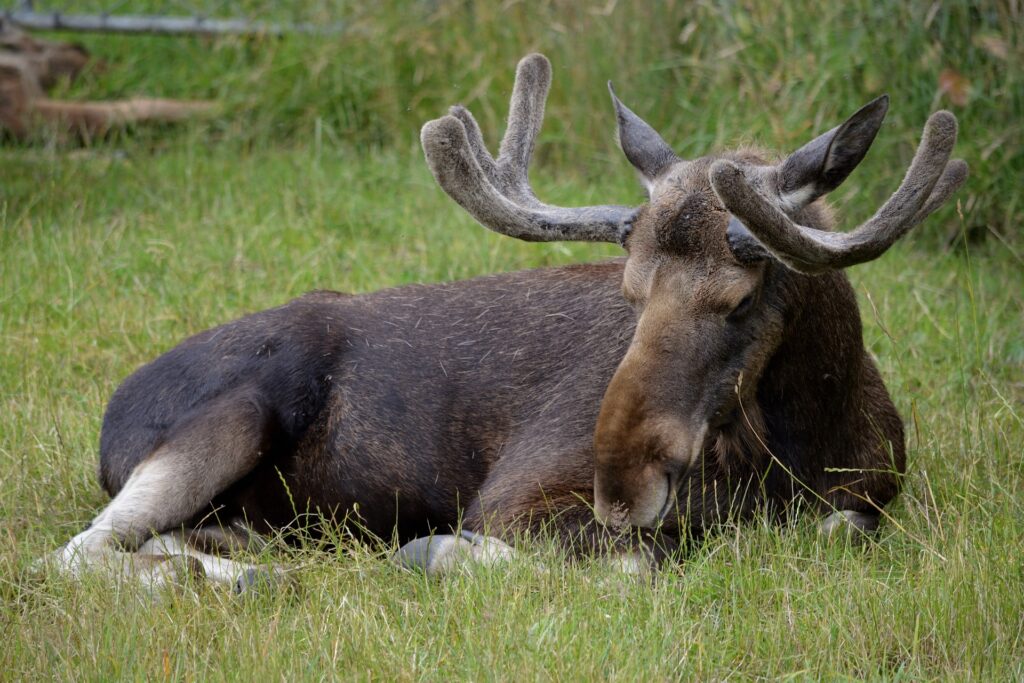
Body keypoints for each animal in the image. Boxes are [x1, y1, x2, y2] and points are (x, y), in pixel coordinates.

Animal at [49, 52, 966, 589]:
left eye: (739, 299)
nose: (619, 483)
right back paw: (243, 576)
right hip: (233, 414)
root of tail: (109, 417)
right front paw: (433, 551)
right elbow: (642, 558)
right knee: (75, 549)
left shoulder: (870, 494)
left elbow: (834, 527)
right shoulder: (514, 498)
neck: (807, 433)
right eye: (628, 292)